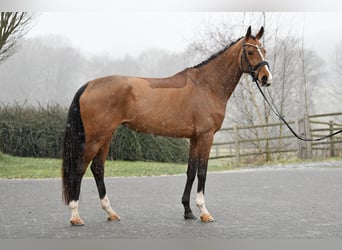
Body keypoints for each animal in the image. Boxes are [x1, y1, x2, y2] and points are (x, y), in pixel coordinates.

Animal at [60, 26, 270, 226]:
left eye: (264, 50)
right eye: (251, 52)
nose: (266, 78)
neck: (206, 85)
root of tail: (89, 85)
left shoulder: (194, 138)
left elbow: (191, 171)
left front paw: (188, 211)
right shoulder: (206, 136)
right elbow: (202, 172)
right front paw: (204, 212)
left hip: (106, 136)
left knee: (98, 168)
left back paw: (110, 212)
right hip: (96, 138)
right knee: (79, 168)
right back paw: (75, 216)